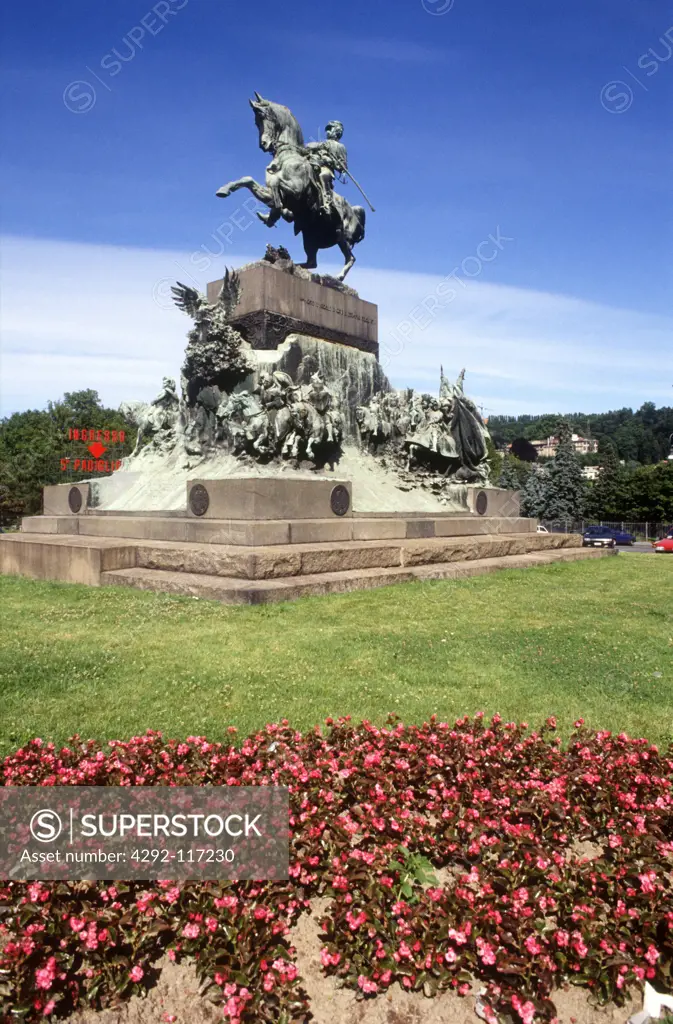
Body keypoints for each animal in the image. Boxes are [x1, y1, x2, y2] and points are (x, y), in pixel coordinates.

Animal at [215, 93, 364, 280]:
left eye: (264, 116)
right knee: (312, 262)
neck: (288, 155)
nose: (264, 144)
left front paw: (280, 212)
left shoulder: (296, 191)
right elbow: (248, 180)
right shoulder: (271, 192)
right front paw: (224, 189)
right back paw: (286, 260)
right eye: (256, 121)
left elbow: (275, 184)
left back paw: (336, 277)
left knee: (350, 258)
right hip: (310, 237)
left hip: (340, 235)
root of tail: (356, 212)